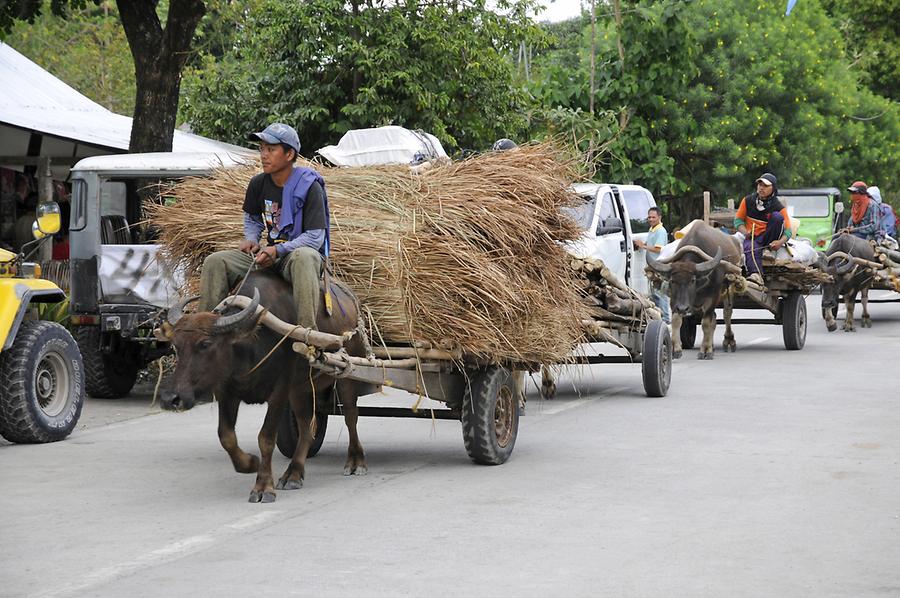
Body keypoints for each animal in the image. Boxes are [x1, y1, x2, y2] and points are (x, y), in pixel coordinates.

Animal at [158, 274, 366, 504]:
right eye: (176, 345)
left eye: (205, 343)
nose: (170, 398)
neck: (251, 346)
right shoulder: (227, 391)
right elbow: (226, 436)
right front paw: (250, 463)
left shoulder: (280, 392)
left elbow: (265, 438)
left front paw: (263, 487)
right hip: (301, 390)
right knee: (307, 428)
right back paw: (293, 474)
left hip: (347, 375)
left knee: (351, 416)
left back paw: (355, 461)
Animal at [648, 221, 744, 358]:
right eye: (672, 281)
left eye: (692, 280)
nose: (683, 308)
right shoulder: (674, 299)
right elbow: (676, 320)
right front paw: (675, 349)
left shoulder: (712, 297)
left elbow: (706, 323)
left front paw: (705, 350)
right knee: (715, 319)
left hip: (729, 287)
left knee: (727, 314)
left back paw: (728, 341)